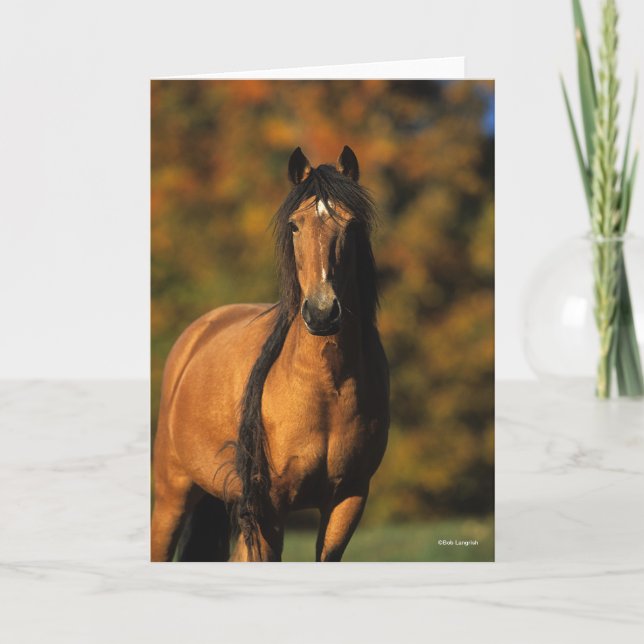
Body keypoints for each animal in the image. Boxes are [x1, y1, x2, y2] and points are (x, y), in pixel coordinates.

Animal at [151, 145, 389, 562]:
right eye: (295, 226)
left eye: (351, 225)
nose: (322, 312)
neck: (327, 385)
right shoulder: (271, 505)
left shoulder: (348, 499)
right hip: (173, 495)